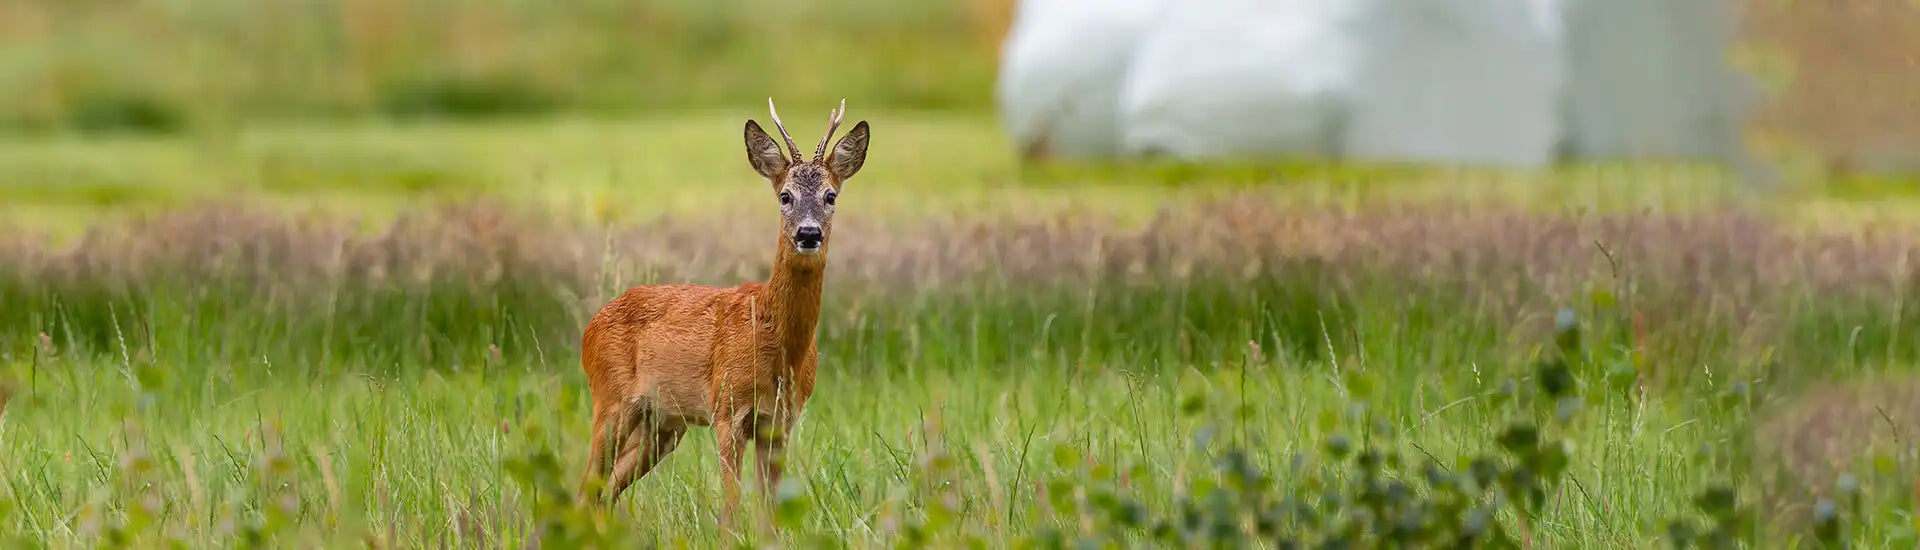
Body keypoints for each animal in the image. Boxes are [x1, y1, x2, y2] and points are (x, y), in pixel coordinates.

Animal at [574, 98, 869, 531]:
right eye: (785, 196)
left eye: (830, 195)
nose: (808, 234)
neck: (777, 343)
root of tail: (590, 327)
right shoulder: (727, 408)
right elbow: (731, 503)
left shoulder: (780, 422)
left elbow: (770, 509)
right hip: (610, 400)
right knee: (585, 486)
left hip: (661, 424)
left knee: (605, 490)